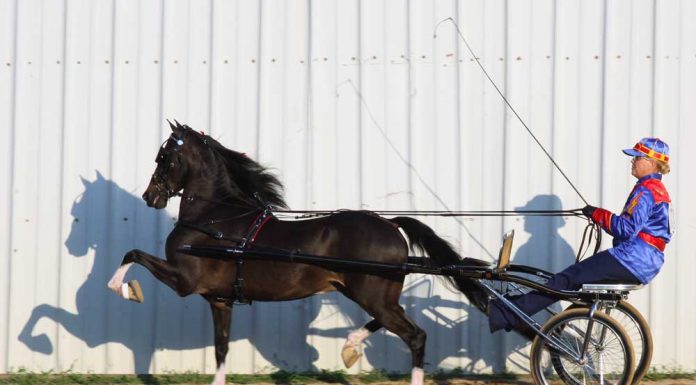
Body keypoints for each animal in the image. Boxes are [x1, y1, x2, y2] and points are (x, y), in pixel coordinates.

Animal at [109, 121, 490, 384]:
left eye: (164, 157)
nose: (149, 196)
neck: (214, 218)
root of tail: (389, 225)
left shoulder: (184, 281)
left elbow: (131, 254)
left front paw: (126, 289)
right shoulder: (219, 300)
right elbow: (221, 348)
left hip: (373, 294)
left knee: (415, 336)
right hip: (373, 294)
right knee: (389, 323)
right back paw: (350, 347)